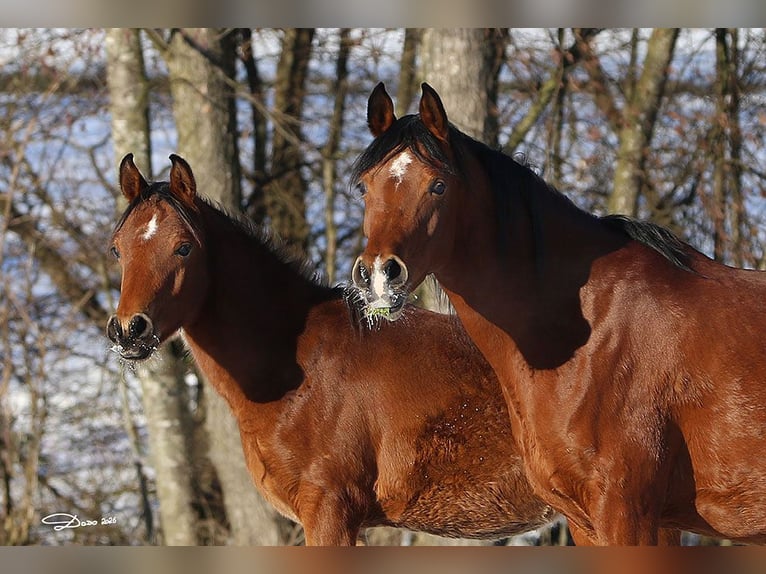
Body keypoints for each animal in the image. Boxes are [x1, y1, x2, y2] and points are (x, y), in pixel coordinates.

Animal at [350, 82, 766, 545]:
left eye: (438, 186)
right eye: (365, 187)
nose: (378, 276)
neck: (591, 332)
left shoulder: (625, 511)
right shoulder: (590, 521)